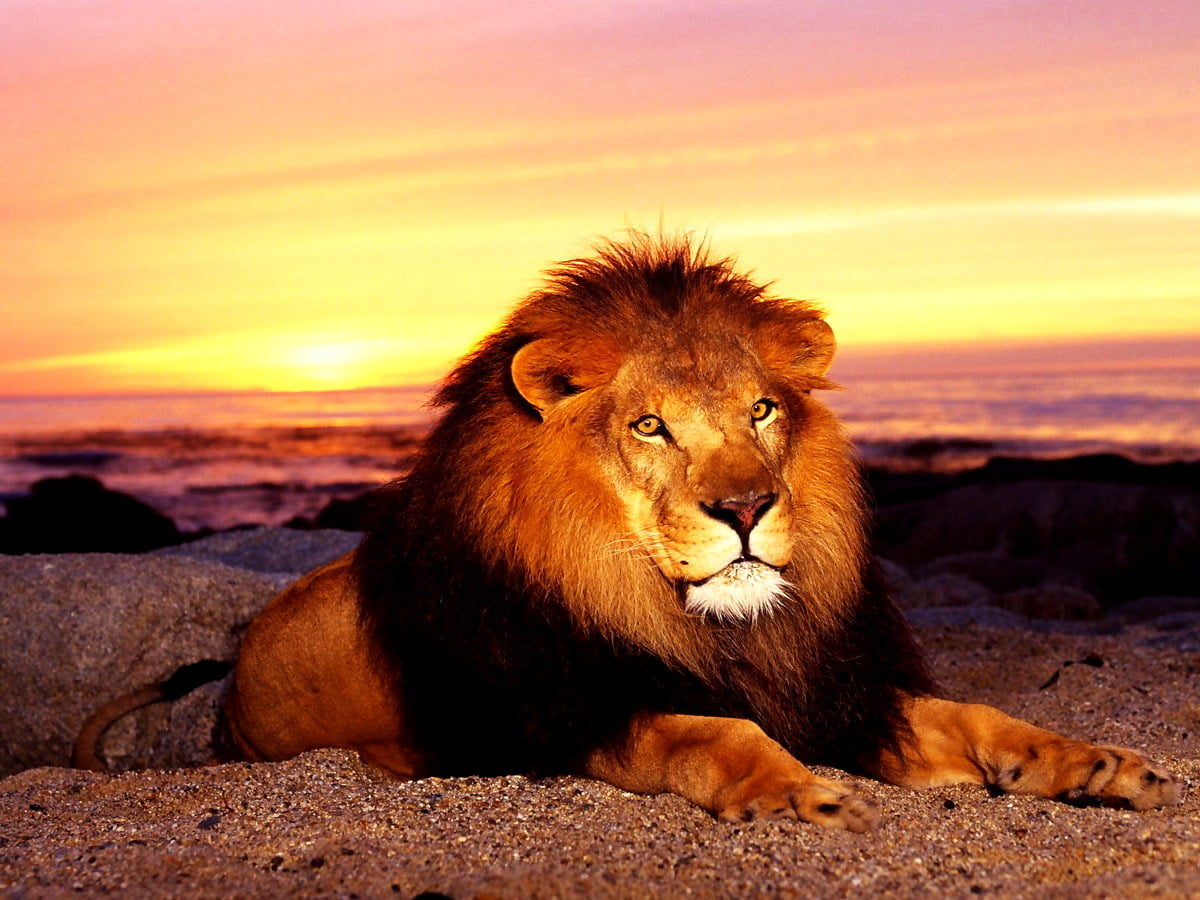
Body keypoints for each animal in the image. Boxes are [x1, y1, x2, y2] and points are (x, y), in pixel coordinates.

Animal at [77, 235, 1180, 829]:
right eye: (651, 426)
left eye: (762, 412)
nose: (745, 510)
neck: (712, 627)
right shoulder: (570, 714)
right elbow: (709, 729)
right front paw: (802, 794)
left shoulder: (841, 690)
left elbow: (983, 719)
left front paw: (1095, 764)